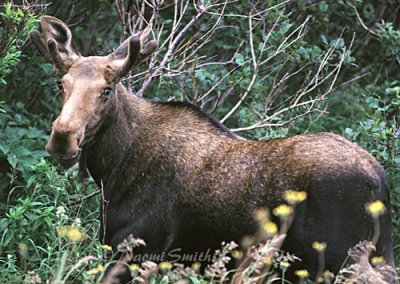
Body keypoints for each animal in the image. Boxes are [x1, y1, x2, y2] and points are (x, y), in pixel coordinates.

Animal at [29, 16, 396, 282]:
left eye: (107, 89)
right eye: (61, 84)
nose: (62, 136)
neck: (113, 169)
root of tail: (380, 179)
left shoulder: (138, 248)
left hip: (342, 253)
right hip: (372, 254)